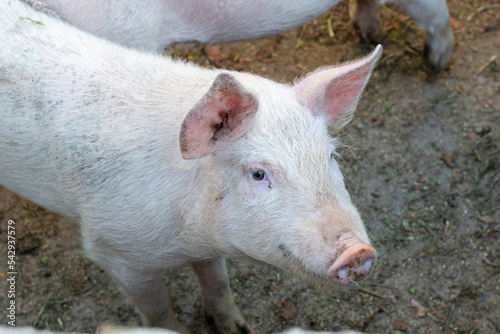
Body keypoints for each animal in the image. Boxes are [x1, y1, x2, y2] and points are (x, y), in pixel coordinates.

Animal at [0, 1, 380, 332]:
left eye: (331, 156)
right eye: (258, 173)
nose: (358, 251)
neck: (191, 236)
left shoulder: (207, 250)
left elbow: (218, 283)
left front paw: (239, 328)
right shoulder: (113, 252)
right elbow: (157, 309)